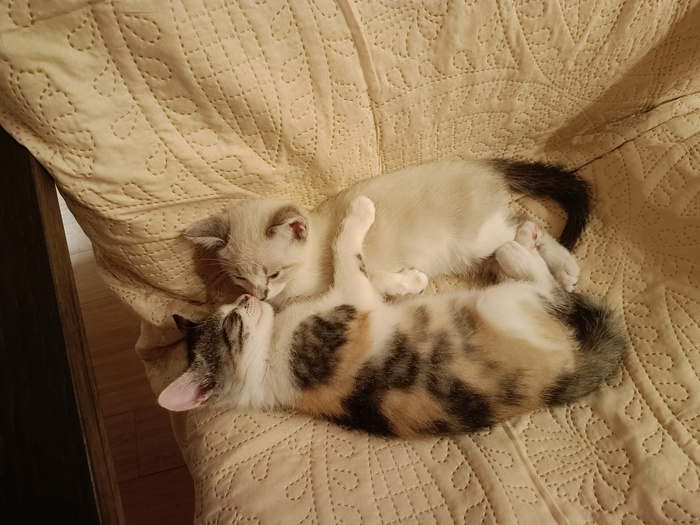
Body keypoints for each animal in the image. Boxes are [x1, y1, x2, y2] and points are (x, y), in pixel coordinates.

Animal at [160, 197, 626, 438]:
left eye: (226, 313)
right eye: (231, 326)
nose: (246, 299)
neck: (267, 362)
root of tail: (568, 372)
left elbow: (367, 273)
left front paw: (408, 280)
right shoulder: (347, 306)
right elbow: (346, 257)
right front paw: (359, 215)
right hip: (508, 306)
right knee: (546, 289)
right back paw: (521, 251)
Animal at [184, 159, 591, 309]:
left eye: (273, 273)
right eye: (240, 278)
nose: (261, 295)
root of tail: (482, 166)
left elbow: (368, 274)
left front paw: (409, 282)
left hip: (478, 238)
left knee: (522, 224)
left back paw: (565, 267)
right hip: (479, 252)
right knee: (520, 230)